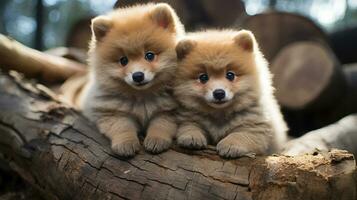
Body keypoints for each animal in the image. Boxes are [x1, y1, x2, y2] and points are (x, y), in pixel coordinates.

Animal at [78, 2, 184, 156]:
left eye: (150, 55)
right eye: (123, 60)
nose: (138, 75)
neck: (142, 97)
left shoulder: (169, 112)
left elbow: (161, 125)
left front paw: (156, 140)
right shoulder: (112, 113)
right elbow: (122, 127)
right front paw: (126, 144)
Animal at [174, 29, 288, 158]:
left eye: (230, 75)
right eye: (203, 77)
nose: (219, 93)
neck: (219, 115)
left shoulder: (256, 128)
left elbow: (240, 135)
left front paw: (230, 145)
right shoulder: (188, 117)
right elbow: (189, 126)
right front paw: (192, 137)